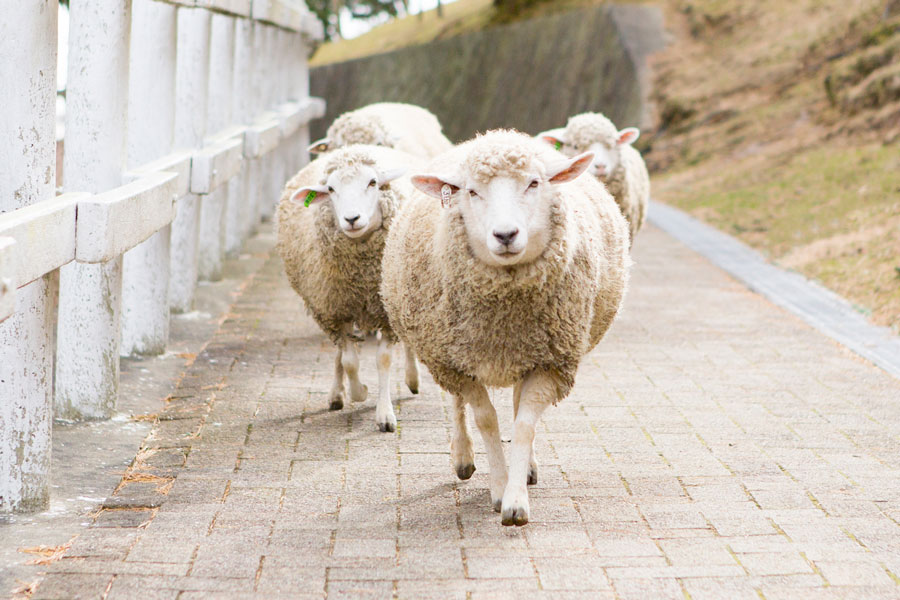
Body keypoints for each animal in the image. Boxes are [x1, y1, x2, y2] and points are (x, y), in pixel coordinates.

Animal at [278, 145, 422, 436]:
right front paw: (359, 392)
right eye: (331, 189)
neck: (362, 276)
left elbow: (383, 361)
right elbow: (349, 362)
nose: (351, 219)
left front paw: (385, 415)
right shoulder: (334, 310)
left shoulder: (385, 311)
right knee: (338, 354)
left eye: (373, 182)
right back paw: (336, 395)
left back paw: (412, 379)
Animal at [382, 129, 632, 524]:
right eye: (471, 191)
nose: (505, 235)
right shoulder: (456, 363)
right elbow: (485, 419)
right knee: (456, 403)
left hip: (525, 350)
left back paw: (525, 466)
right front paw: (499, 488)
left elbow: (524, 422)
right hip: (445, 347)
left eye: (534, 183)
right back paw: (463, 458)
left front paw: (516, 500)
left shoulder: (549, 360)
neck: (505, 314)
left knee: (516, 405)